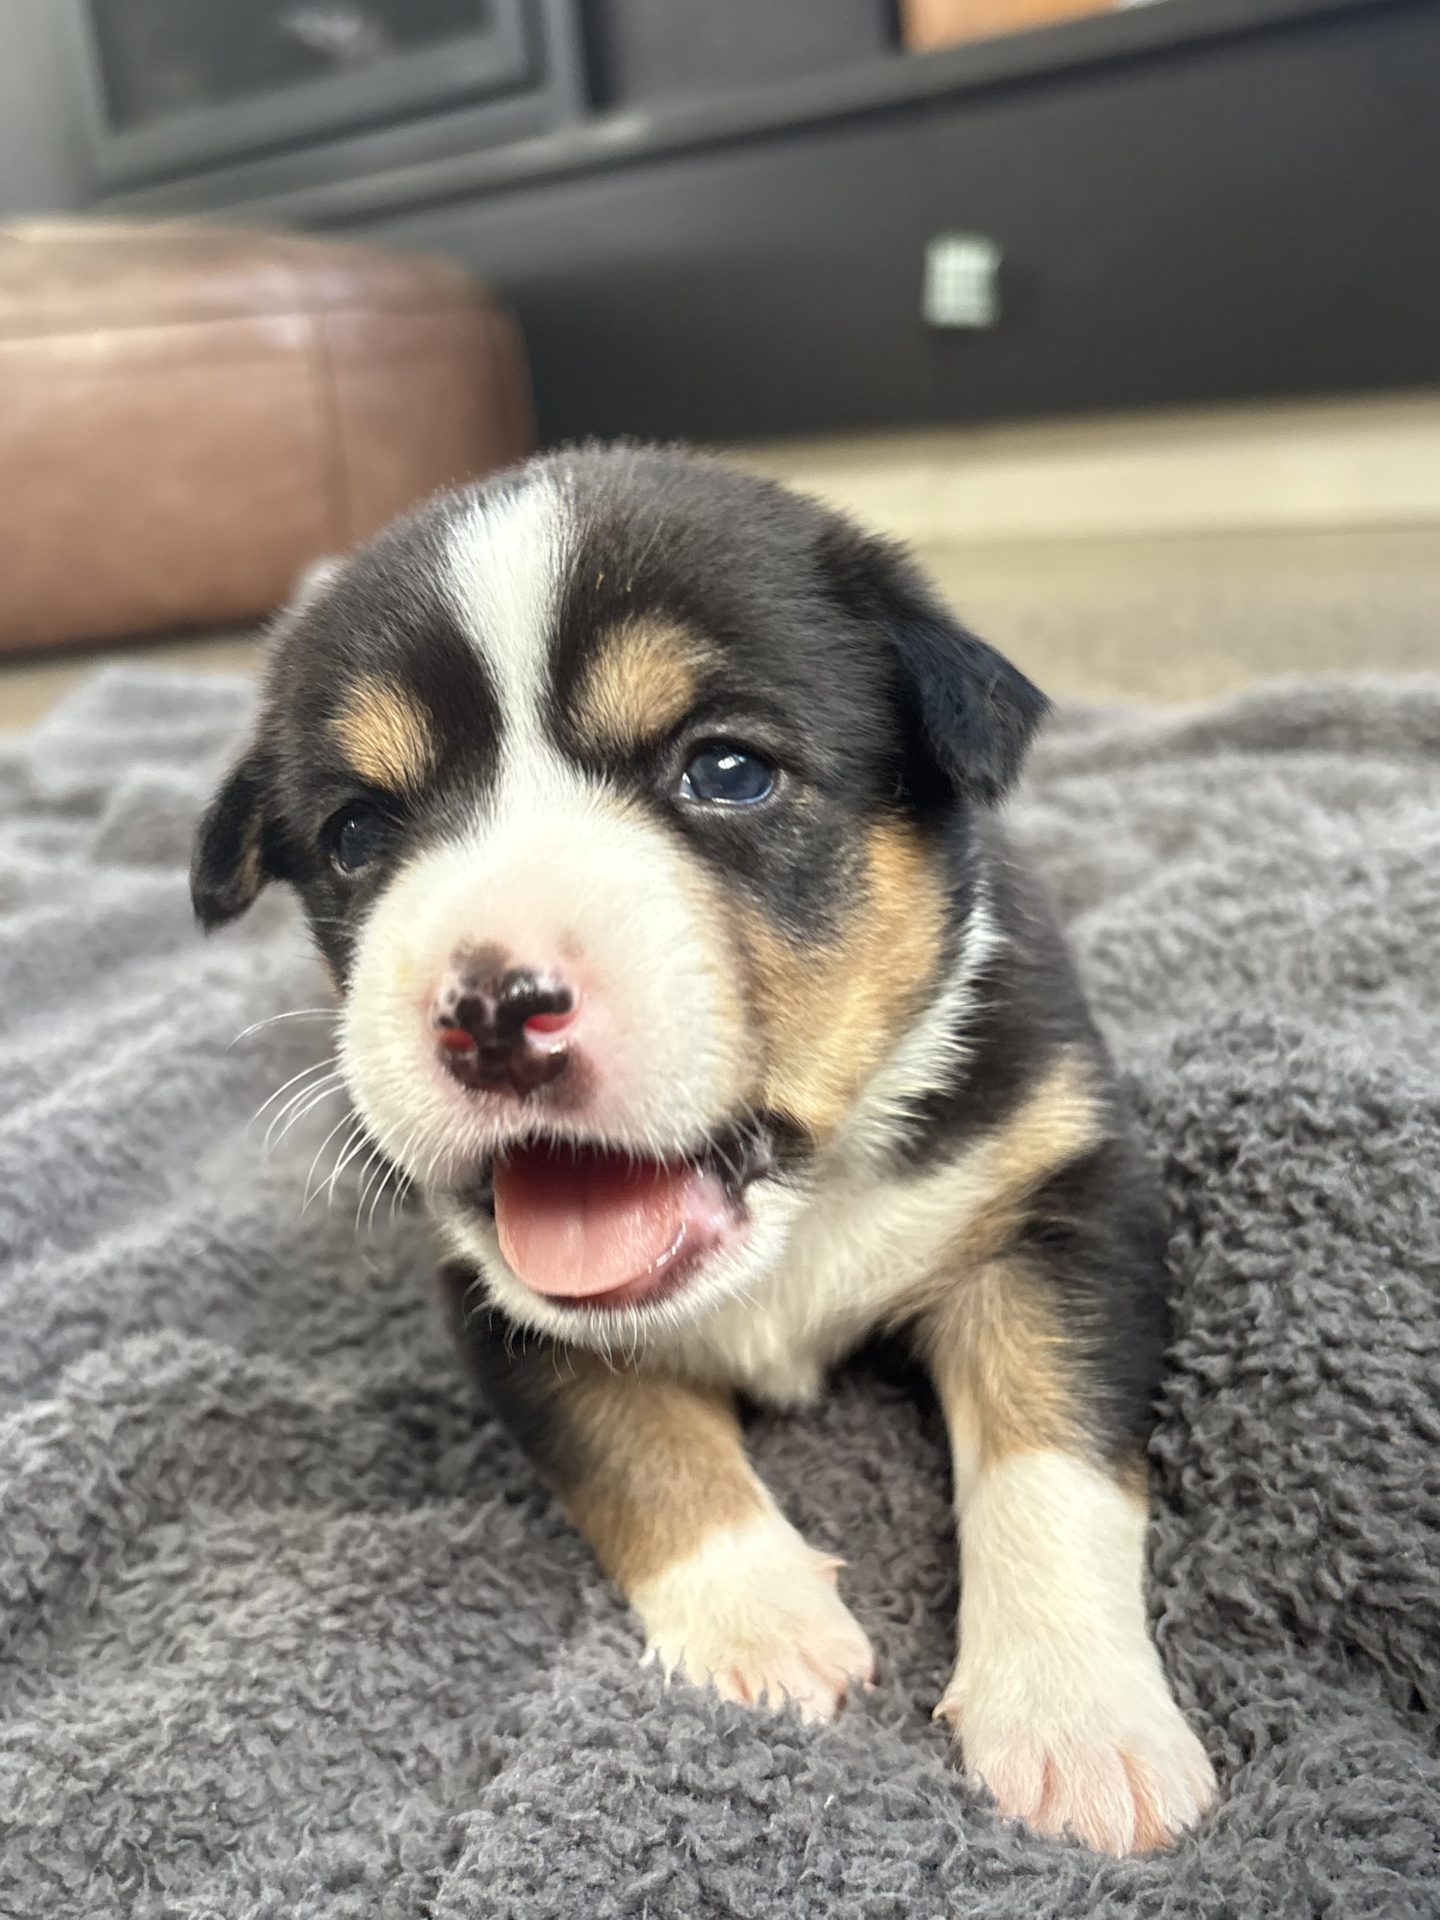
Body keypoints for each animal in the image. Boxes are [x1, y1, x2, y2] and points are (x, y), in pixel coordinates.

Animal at [192, 445, 1216, 1856]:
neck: (790, 1222)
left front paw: (1078, 1725)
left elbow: (1050, 1459)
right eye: (355, 835)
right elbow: (640, 1452)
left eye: (726, 771)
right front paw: (762, 1627)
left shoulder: (1062, 1199)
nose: (491, 1007)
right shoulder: (500, 1300)